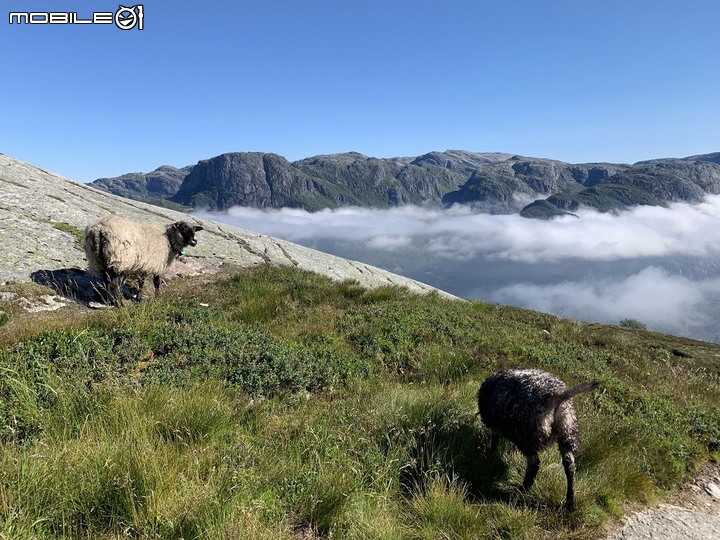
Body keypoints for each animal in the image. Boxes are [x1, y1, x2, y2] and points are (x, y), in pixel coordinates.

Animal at [478, 368, 600, 510]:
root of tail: (558, 395)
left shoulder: (496, 425)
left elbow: (494, 440)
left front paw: (490, 455)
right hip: (567, 430)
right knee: (569, 465)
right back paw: (569, 503)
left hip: (527, 434)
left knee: (534, 464)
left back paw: (519, 493)